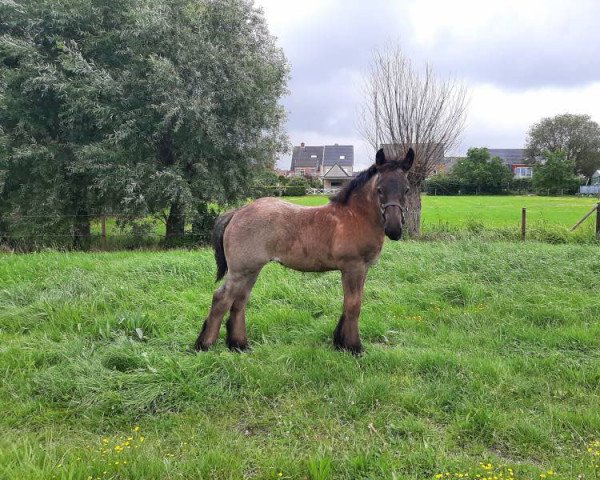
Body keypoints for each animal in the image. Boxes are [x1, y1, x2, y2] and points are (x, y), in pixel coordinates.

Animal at [195, 148, 414, 354]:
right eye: (379, 189)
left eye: (407, 189)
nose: (394, 229)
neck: (355, 216)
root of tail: (237, 213)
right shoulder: (353, 268)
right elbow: (353, 305)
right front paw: (354, 347)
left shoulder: (362, 269)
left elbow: (349, 303)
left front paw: (340, 342)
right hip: (240, 270)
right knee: (222, 298)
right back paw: (204, 346)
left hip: (251, 270)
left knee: (239, 300)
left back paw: (239, 345)